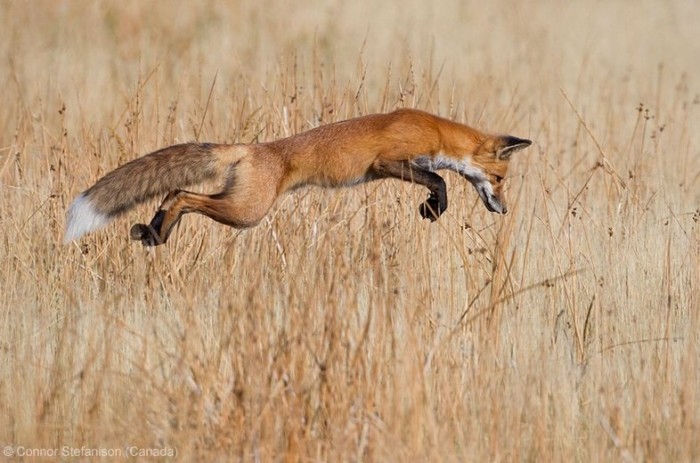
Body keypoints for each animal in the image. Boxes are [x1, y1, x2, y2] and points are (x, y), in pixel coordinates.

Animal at [64, 109, 532, 246]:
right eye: (500, 178)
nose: (505, 209)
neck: (434, 130)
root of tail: (252, 148)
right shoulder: (387, 163)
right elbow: (440, 181)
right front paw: (433, 209)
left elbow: (439, 180)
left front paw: (433, 209)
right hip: (246, 212)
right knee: (181, 195)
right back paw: (158, 233)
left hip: (237, 203)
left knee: (175, 191)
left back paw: (154, 232)